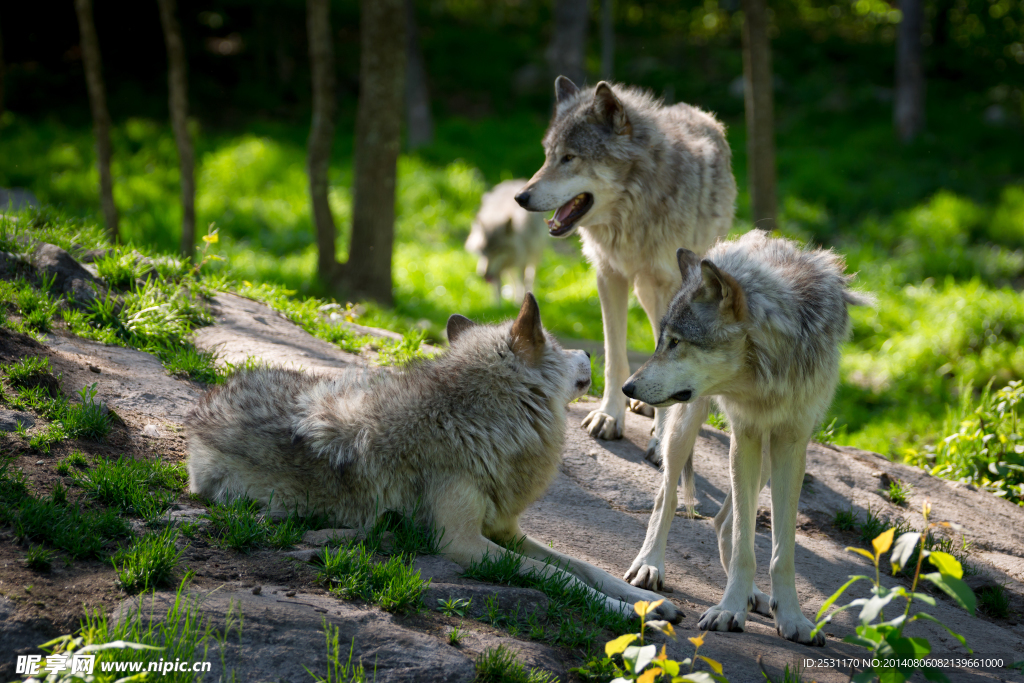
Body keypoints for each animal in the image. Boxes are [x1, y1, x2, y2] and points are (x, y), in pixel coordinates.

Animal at [186, 294, 679, 626]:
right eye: (555, 344)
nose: (589, 352)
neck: (473, 421)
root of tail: (204, 404)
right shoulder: (464, 544)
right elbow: (560, 578)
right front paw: (635, 616)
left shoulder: (507, 531)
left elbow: (587, 568)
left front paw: (651, 602)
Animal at [512, 78, 737, 464]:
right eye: (547, 156)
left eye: (569, 158)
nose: (520, 198)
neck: (633, 215)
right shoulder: (609, 276)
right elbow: (615, 356)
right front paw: (609, 415)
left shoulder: (667, 286)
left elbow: (669, 352)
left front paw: (661, 439)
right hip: (644, 292)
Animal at [614, 231, 872, 647]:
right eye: (662, 341)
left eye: (677, 342)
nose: (627, 387)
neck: (768, 368)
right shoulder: (745, 433)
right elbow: (744, 548)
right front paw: (728, 610)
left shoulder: (791, 441)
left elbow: (781, 551)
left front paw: (792, 618)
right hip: (686, 428)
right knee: (667, 497)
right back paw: (649, 566)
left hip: (765, 456)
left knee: (723, 522)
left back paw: (755, 596)